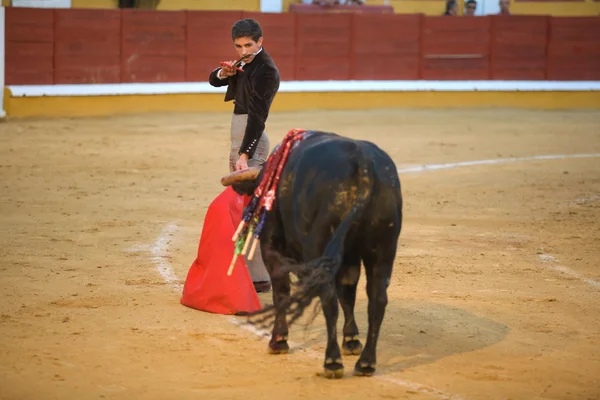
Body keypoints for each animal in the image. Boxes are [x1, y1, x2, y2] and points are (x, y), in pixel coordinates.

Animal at [224, 131, 404, 378]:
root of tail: (363, 163)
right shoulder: (349, 257)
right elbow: (348, 294)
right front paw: (351, 340)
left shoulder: (272, 247)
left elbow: (281, 292)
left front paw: (278, 340)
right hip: (383, 251)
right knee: (376, 300)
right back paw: (366, 363)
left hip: (320, 248)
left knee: (329, 299)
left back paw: (332, 361)